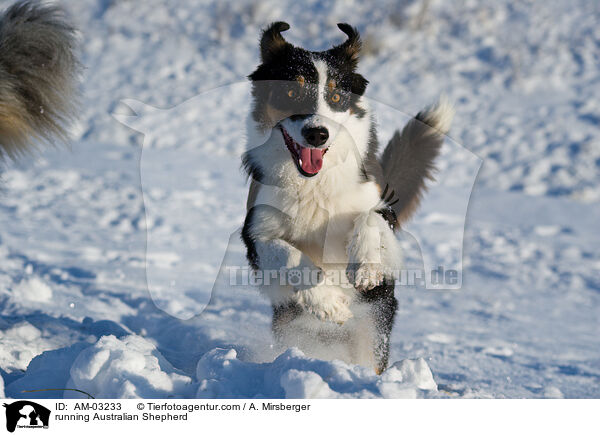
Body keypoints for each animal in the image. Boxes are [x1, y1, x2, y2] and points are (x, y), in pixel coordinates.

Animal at [241, 22, 452, 372]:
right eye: (290, 93)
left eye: (337, 96)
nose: (317, 134)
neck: (314, 185)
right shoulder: (255, 234)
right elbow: (285, 253)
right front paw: (327, 302)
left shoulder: (381, 210)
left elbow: (368, 218)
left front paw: (365, 266)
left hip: (373, 330)